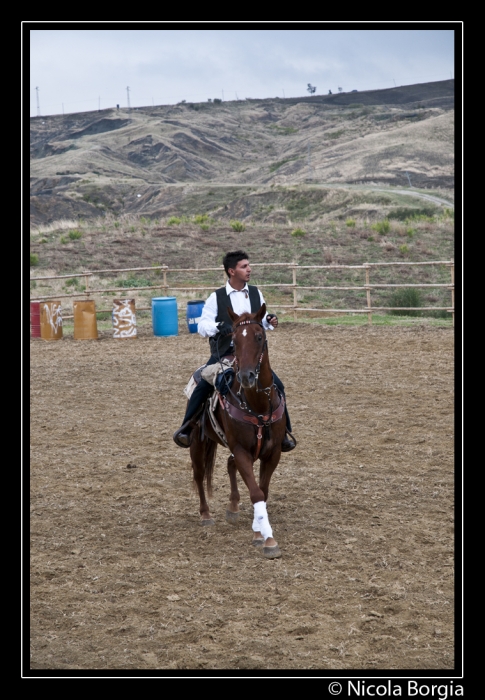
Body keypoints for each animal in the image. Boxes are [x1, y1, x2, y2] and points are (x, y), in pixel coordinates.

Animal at [188, 304, 288, 560]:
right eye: (234, 339)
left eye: (260, 336)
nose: (246, 376)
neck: (257, 406)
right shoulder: (242, 450)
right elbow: (256, 493)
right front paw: (268, 539)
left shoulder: (272, 453)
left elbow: (262, 490)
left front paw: (258, 531)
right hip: (197, 443)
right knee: (199, 474)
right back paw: (205, 514)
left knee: (229, 464)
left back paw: (233, 507)